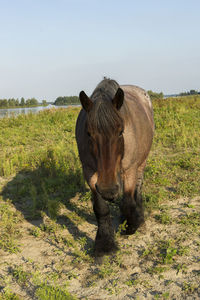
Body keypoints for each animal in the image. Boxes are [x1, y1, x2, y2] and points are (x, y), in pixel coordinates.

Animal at [76, 78, 154, 258]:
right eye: (89, 133)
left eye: (120, 131)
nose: (108, 190)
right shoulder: (89, 172)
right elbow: (101, 207)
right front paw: (105, 243)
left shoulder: (130, 169)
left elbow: (128, 201)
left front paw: (132, 225)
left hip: (141, 163)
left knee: (137, 190)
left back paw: (138, 218)